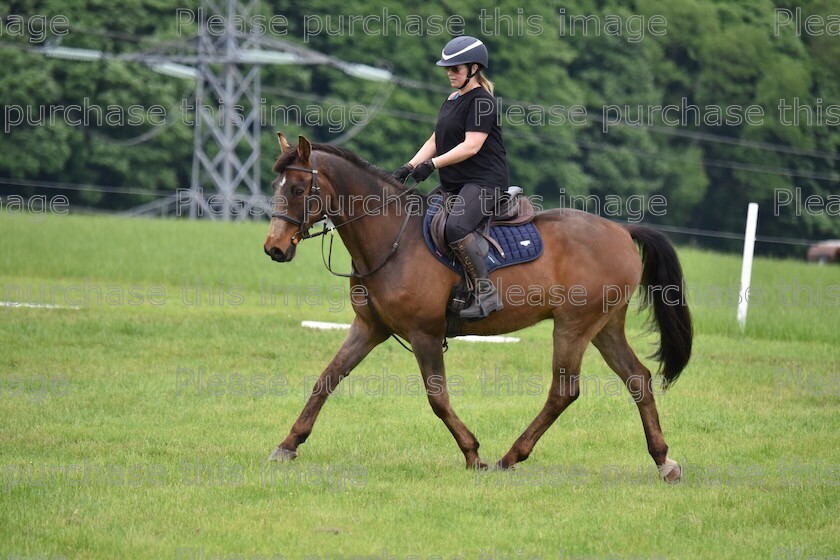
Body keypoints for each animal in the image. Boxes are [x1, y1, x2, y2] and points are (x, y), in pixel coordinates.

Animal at [266, 135, 692, 482]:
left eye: (300, 189)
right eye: (277, 187)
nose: (274, 248)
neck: (392, 237)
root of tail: (621, 230)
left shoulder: (425, 334)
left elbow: (437, 399)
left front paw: (473, 455)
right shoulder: (370, 327)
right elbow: (327, 379)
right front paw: (288, 445)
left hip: (573, 326)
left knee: (564, 391)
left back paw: (511, 457)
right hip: (604, 327)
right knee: (637, 379)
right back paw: (663, 461)